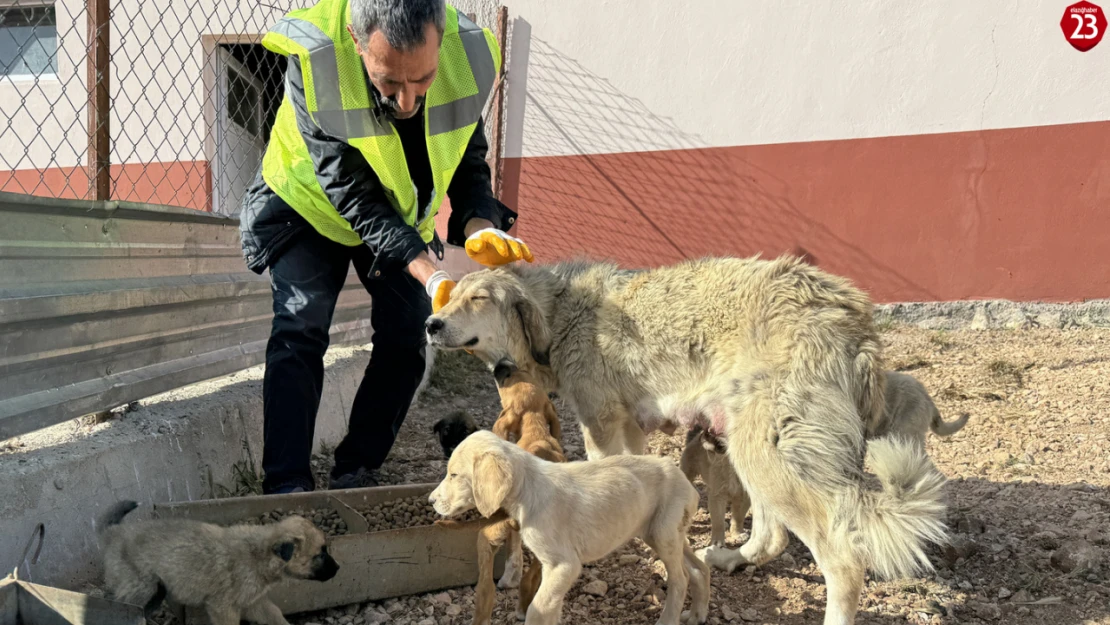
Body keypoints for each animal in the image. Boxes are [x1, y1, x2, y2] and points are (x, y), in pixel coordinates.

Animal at [95, 499, 337, 625]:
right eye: (320, 554)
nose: (338, 568)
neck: (260, 554)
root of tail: (114, 532)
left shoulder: (253, 602)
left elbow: (275, 614)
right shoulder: (223, 607)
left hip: (154, 591)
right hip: (141, 588)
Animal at [428, 430, 705, 625]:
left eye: (454, 475)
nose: (430, 501)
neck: (527, 488)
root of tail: (687, 483)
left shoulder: (564, 564)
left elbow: (537, 610)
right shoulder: (554, 570)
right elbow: (550, 608)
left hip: (662, 534)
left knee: (681, 579)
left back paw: (669, 619)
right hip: (663, 533)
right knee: (699, 568)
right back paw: (697, 615)